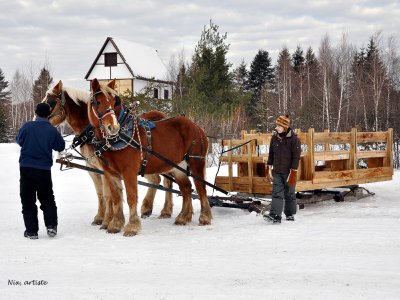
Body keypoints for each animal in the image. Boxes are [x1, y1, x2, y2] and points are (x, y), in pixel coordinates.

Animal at [43, 80, 173, 230]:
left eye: (50, 102)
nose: (35, 117)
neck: (90, 132)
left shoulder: (104, 168)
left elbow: (108, 194)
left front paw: (107, 220)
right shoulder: (92, 167)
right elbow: (100, 193)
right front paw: (100, 217)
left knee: (167, 180)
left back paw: (166, 210)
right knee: (156, 180)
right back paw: (147, 208)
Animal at [88, 78, 212, 236]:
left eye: (114, 101)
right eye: (97, 102)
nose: (113, 127)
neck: (119, 137)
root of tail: (196, 127)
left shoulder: (129, 172)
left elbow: (131, 197)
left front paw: (132, 226)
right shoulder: (110, 173)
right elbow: (116, 198)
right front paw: (115, 224)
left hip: (196, 162)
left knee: (201, 188)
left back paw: (205, 217)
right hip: (178, 167)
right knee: (186, 188)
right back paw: (183, 217)